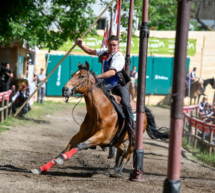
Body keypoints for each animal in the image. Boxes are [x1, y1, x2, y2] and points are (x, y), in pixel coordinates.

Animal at [30, 61, 168, 176]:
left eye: (82, 76)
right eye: (73, 74)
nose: (65, 89)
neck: (100, 111)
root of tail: (144, 112)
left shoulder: (101, 136)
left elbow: (80, 145)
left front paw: (61, 159)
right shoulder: (81, 134)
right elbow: (67, 147)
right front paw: (41, 168)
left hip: (133, 136)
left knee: (129, 152)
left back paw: (119, 171)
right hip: (117, 140)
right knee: (122, 150)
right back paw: (115, 169)